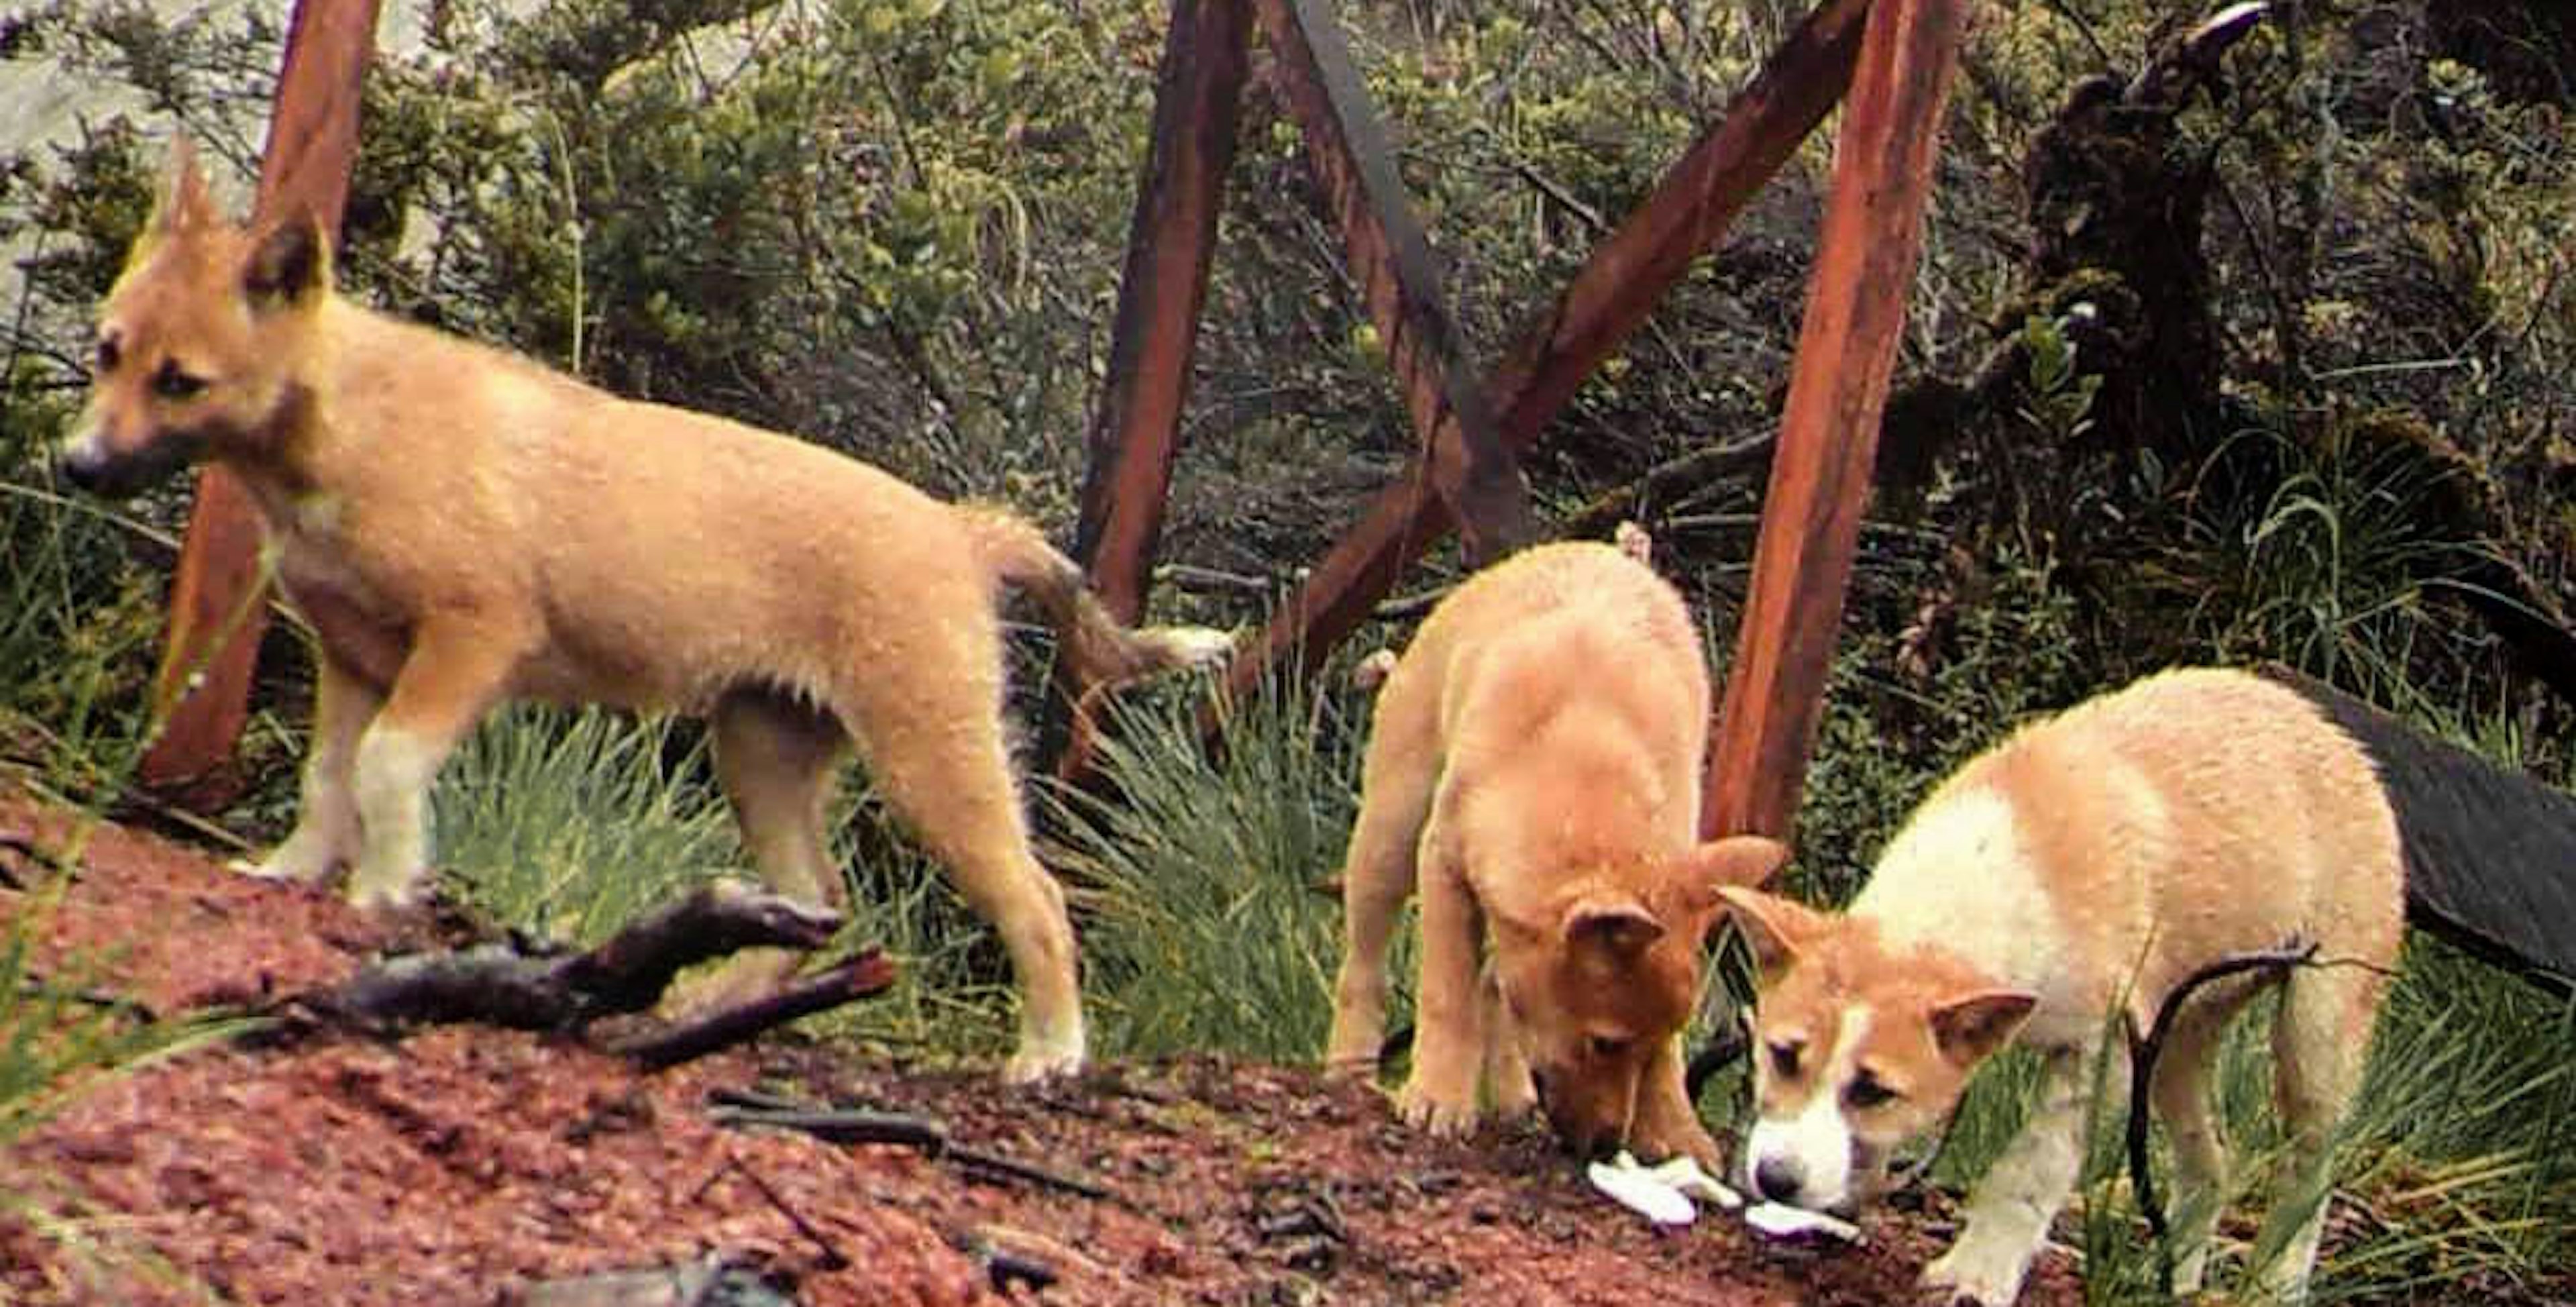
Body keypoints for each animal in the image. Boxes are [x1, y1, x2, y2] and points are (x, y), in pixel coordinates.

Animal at [60, 143, 1226, 1082]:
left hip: (932, 764)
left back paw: (1051, 1053)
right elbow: (328, 783)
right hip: (761, 757)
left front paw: (384, 895)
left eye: (180, 382)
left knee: (1037, 903)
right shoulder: (353, 662)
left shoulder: (470, 641)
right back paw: (702, 1008)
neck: (351, 424)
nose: (74, 468)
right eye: (108, 352)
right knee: (809, 903)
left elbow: (388, 772)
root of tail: (962, 531)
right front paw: (291, 876)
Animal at [1319, 536, 1782, 1170]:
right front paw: (1439, 1098)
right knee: (1365, 967)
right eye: (1605, 1042)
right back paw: (1350, 1071)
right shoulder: (1444, 865)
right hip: (1390, 833)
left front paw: (1675, 1132)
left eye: (1648, 1041)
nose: (1606, 1146)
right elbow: (1447, 992)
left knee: (1494, 985)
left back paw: (1514, 1096)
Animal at [1721, 670, 2400, 1304]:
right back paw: (2172, 1284)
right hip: (2177, 1041)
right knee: (2211, 1163)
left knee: (2309, 1172)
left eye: (1874, 1090)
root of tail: (2327, 730)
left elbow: (2030, 1168)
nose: (1775, 1180)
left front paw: (1977, 1273)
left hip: (2314, 1035)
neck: (1989, 876)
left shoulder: (2101, 1052)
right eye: (1782, 1056)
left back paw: (2273, 1287)